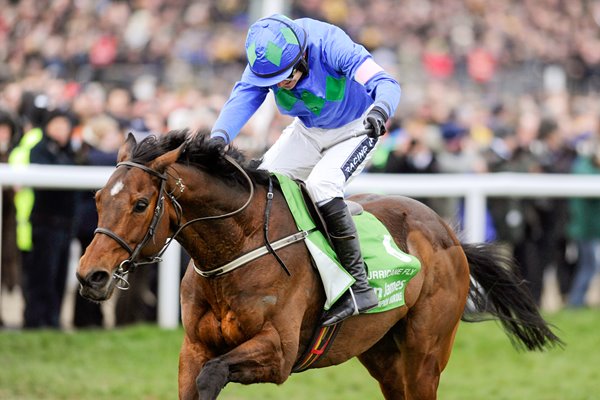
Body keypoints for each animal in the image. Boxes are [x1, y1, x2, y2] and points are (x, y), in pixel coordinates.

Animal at [77, 131, 560, 400]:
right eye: (98, 198)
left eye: (140, 204)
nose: (90, 276)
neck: (236, 250)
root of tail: (447, 232)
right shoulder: (193, 348)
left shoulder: (279, 352)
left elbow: (213, 376)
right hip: (381, 351)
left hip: (427, 351)